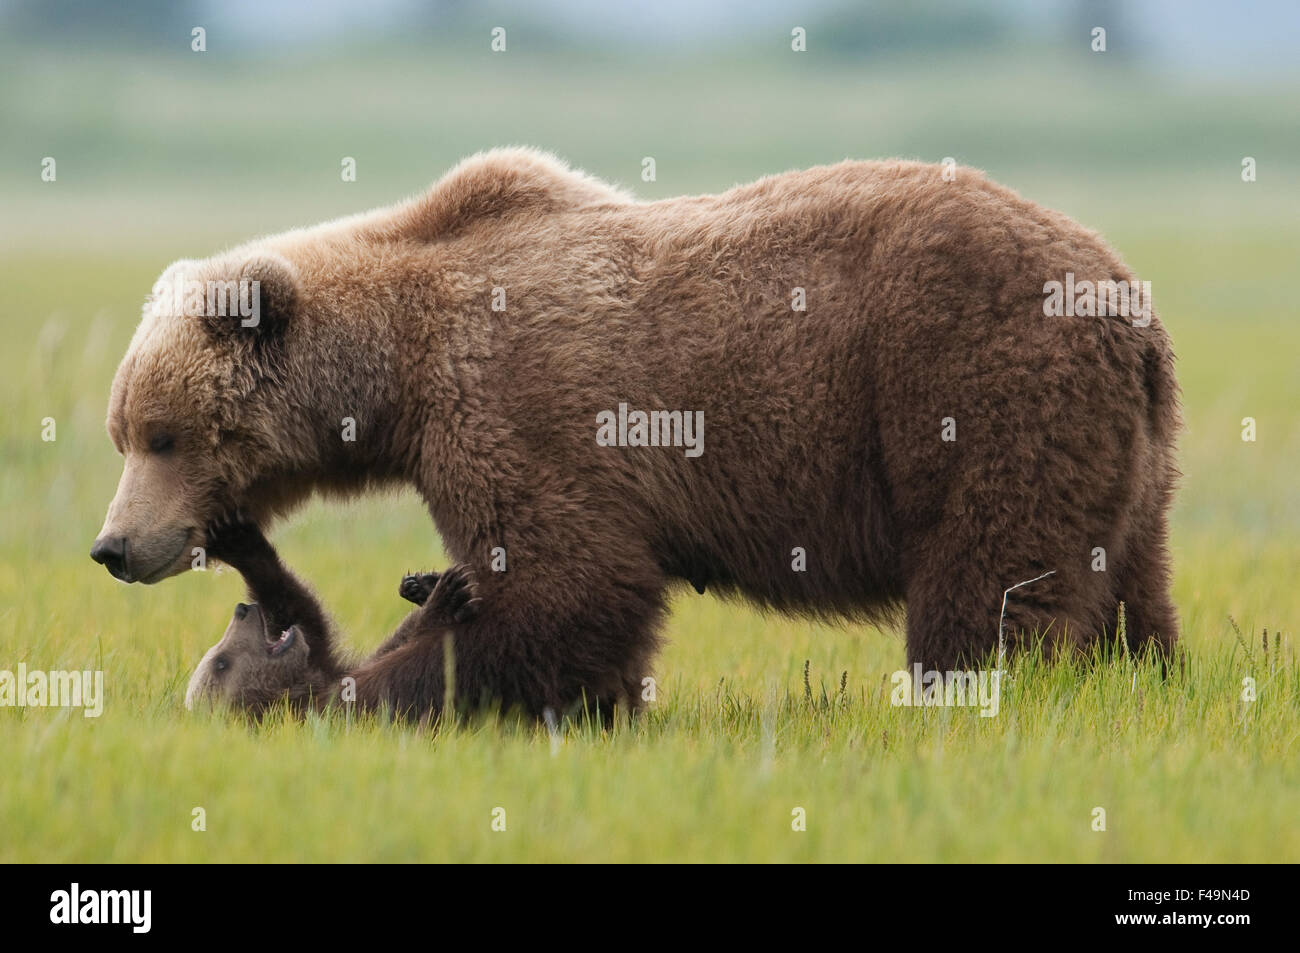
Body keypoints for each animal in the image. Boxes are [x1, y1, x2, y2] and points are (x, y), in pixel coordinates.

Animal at [91, 146, 1180, 712]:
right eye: (124, 431)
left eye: (164, 433)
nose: (114, 545)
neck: (398, 367)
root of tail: (1126, 302)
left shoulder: (516, 406)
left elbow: (570, 582)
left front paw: (411, 672)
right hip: (1126, 456)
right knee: (1128, 588)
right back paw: (1144, 677)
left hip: (973, 389)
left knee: (985, 583)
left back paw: (962, 697)